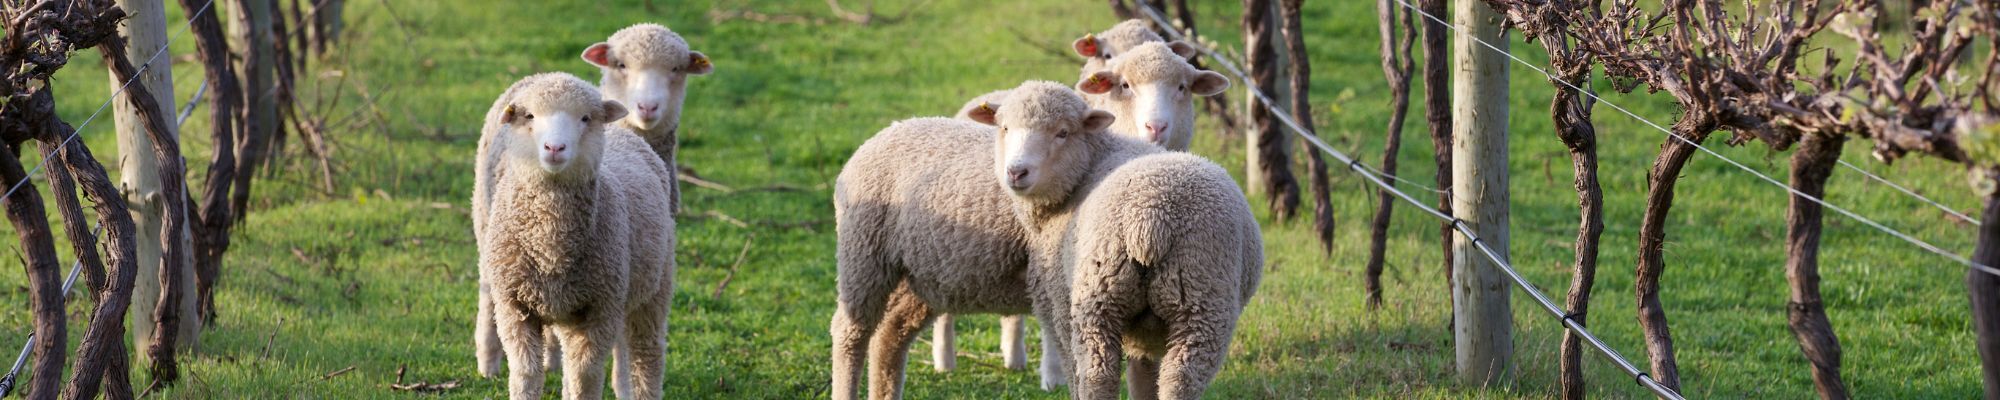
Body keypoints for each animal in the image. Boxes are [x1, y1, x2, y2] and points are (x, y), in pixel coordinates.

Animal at [475, 73, 676, 400]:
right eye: (529, 116)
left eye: (585, 118)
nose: (554, 148)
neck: (550, 244)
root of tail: (624, 133)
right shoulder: (514, 306)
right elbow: (526, 373)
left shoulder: (600, 309)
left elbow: (586, 378)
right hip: (567, 309)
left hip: (655, 287)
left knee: (647, 354)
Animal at [830, 81, 1121, 400]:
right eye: (1004, 128)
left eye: (1063, 132)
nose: (1016, 172)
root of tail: (889, 130)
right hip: (863, 251)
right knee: (850, 331)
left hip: (926, 273)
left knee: (891, 331)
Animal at [970, 81, 1263, 400]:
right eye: (1005, 128)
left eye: (1063, 132)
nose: (1016, 172)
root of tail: (1152, 216)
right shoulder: (1145, 335)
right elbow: (1143, 376)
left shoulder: (1059, 302)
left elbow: (1072, 368)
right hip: (1200, 303)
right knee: (1179, 380)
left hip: (1101, 298)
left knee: (1096, 377)